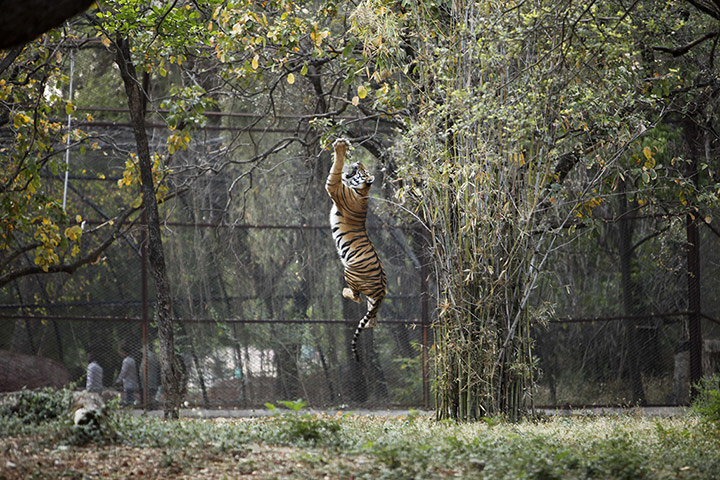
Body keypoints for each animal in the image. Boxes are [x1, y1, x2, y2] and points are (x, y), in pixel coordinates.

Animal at [326, 138, 387, 362]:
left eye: (362, 169)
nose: (359, 161)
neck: (363, 191)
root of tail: (381, 291)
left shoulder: (333, 186)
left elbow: (335, 171)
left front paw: (340, 148)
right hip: (372, 300)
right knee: (371, 321)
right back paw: (368, 322)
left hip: (350, 270)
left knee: (355, 295)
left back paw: (344, 292)